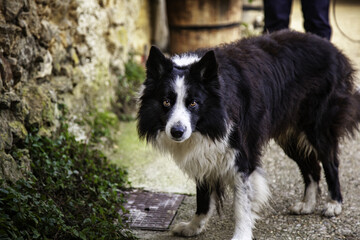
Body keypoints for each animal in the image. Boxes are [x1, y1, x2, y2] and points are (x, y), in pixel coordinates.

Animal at [136, 30, 360, 240]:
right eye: (166, 102)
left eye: (193, 103)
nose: (177, 132)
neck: (213, 116)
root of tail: (335, 51)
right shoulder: (204, 152)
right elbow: (203, 196)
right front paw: (193, 227)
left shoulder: (242, 154)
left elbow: (242, 203)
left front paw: (241, 235)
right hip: (289, 135)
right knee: (311, 167)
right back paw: (307, 205)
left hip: (317, 126)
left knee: (330, 163)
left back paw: (334, 204)